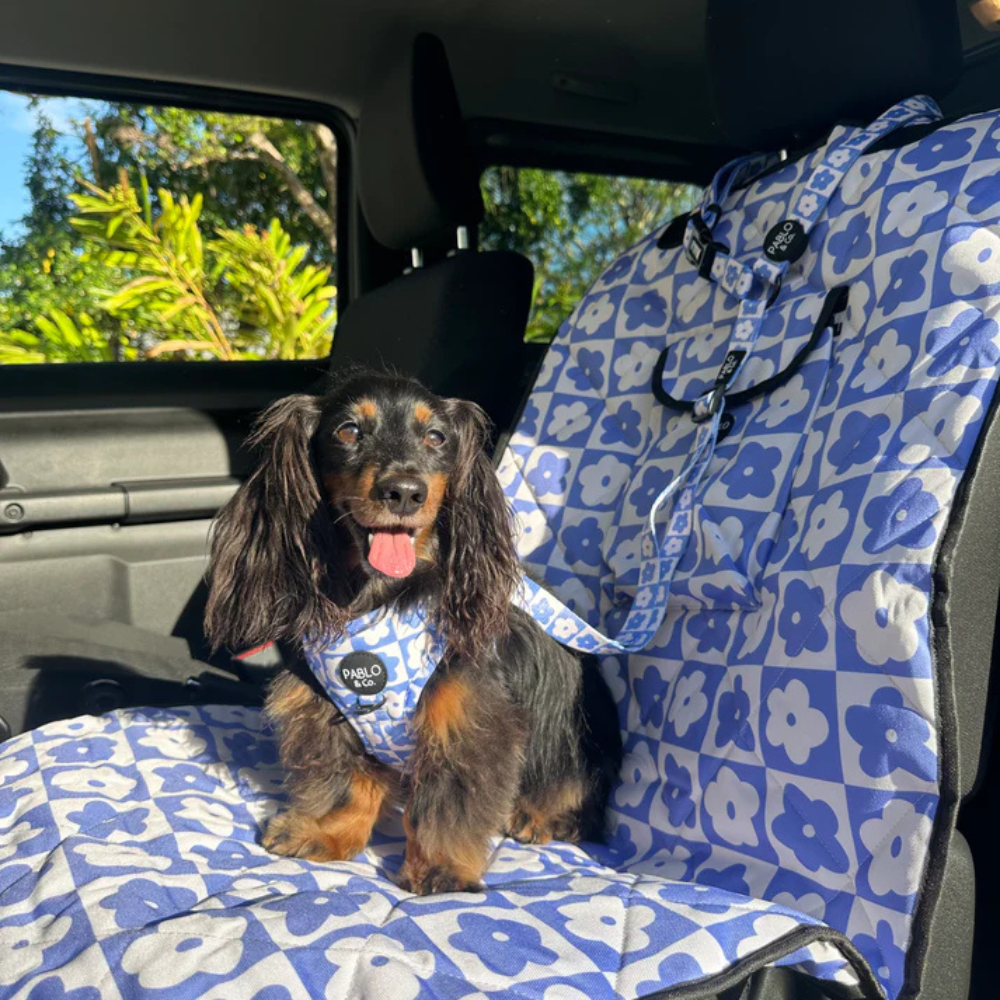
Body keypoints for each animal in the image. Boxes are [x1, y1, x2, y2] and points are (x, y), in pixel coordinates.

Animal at [207, 372, 620, 896]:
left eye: (436, 437)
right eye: (348, 431)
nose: (404, 492)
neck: (382, 596)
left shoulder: (468, 718)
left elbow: (449, 803)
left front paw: (442, 869)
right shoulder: (327, 706)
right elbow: (347, 786)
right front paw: (325, 832)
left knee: (578, 793)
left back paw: (543, 816)